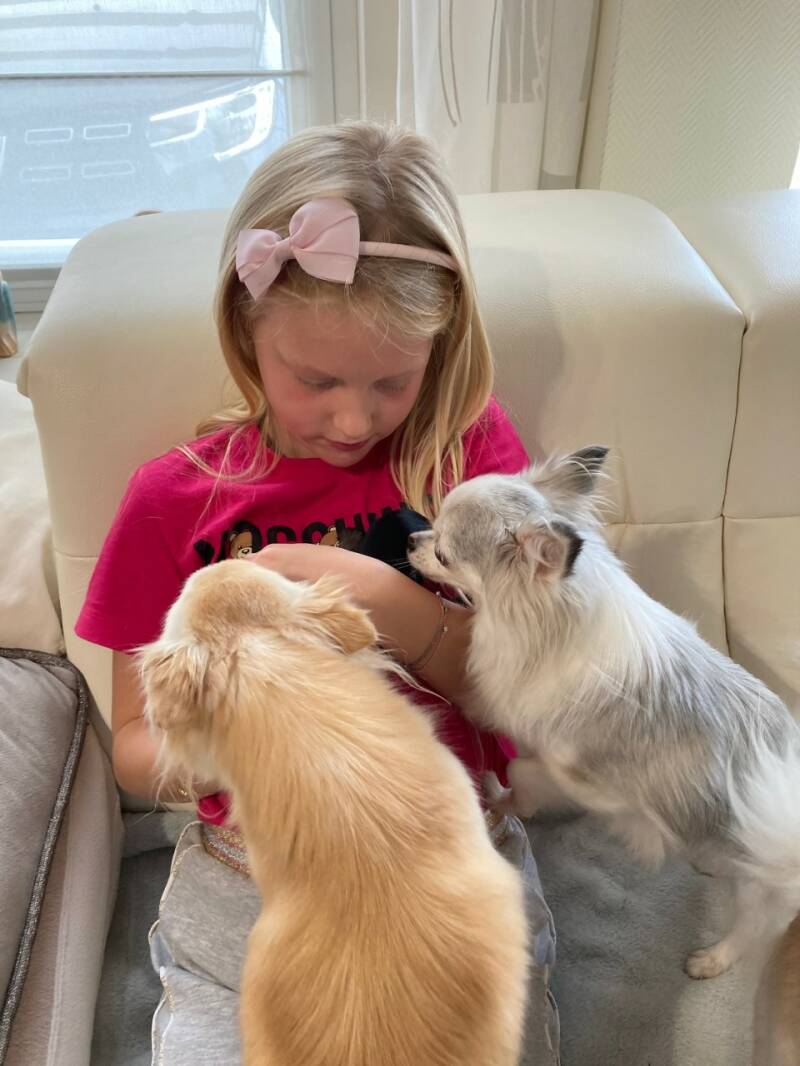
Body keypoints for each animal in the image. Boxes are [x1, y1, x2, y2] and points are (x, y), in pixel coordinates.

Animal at [408, 446, 800, 981]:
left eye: (444, 553)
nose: (411, 538)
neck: (550, 622)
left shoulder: (578, 776)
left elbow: (522, 770)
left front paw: (502, 797)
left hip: (766, 886)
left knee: (753, 929)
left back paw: (713, 958)